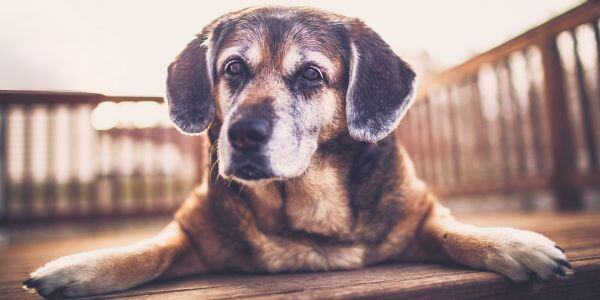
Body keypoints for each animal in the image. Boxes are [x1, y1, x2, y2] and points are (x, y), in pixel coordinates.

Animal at [24, 6, 572, 298]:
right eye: (233, 69)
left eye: (310, 74)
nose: (243, 134)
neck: (306, 210)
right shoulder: (192, 233)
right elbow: (148, 251)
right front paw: (77, 269)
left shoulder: (421, 213)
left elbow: (455, 232)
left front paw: (516, 244)